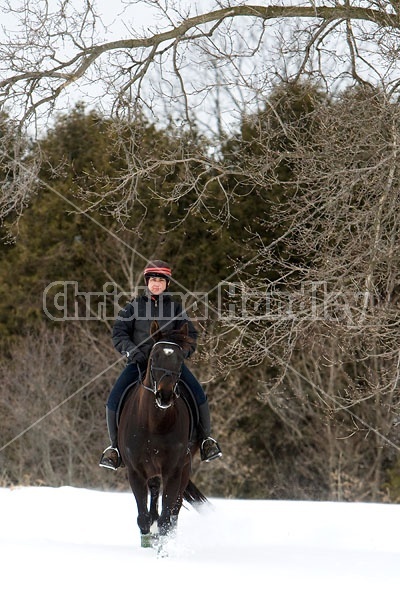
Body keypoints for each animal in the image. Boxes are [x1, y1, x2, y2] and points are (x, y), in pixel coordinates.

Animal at [118, 322, 206, 548]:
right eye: (153, 357)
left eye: (180, 358)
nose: (164, 395)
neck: (154, 423)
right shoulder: (136, 472)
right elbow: (143, 517)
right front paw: (147, 544)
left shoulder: (173, 471)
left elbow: (167, 518)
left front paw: (163, 548)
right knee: (154, 496)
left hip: (184, 468)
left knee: (174, 510)